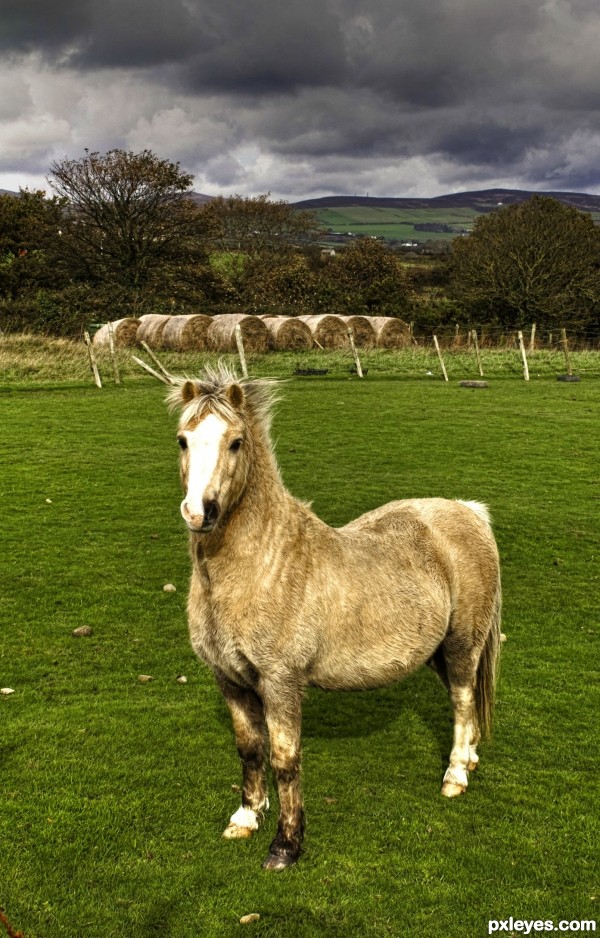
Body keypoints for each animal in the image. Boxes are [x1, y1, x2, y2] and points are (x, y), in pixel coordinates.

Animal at [166, 366, 500, 872]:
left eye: (236, 442)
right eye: (183, 440)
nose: (198, 513)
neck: (261, 565)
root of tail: (469, 511)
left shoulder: (280, 682)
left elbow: (284, 759)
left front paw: (285, 845)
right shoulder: (230, 680)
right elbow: (249, 750)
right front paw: (245, 818)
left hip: (463, 645)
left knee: (462, 703)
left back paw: (456, 775)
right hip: (438, 652)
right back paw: (471, 757)